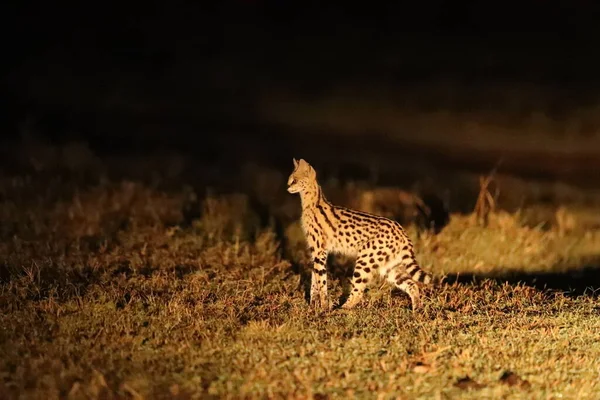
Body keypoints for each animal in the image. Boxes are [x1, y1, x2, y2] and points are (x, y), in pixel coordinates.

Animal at [286, 158, 432, 310]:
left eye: (294, 180)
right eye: (290, 180)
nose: (287, 187)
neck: (312, 203)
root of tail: (401, 230)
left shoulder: (319, 251)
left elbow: (321, 281)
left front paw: (324, 307)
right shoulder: (316, 253)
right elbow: (315, 279)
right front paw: (313, 305)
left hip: (365, 260)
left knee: (358, 292)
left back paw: (342, 309)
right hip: (389, 266)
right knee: (412, 284)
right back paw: (416, 308)